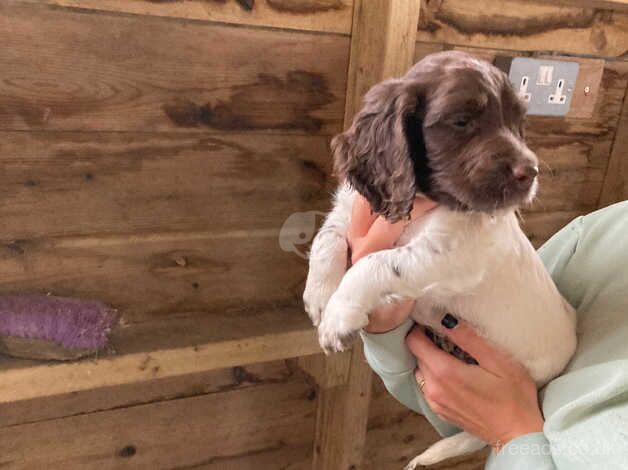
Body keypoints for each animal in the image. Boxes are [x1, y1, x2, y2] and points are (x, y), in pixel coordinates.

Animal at [302, 51, 576, 466]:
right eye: (462, 121)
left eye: (518, 123)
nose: (530, 173)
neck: (421, 199)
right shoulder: (352, 208)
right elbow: (327, 238)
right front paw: (320, 296)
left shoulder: (450, 255)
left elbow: (374, 264)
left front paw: (337, 317)